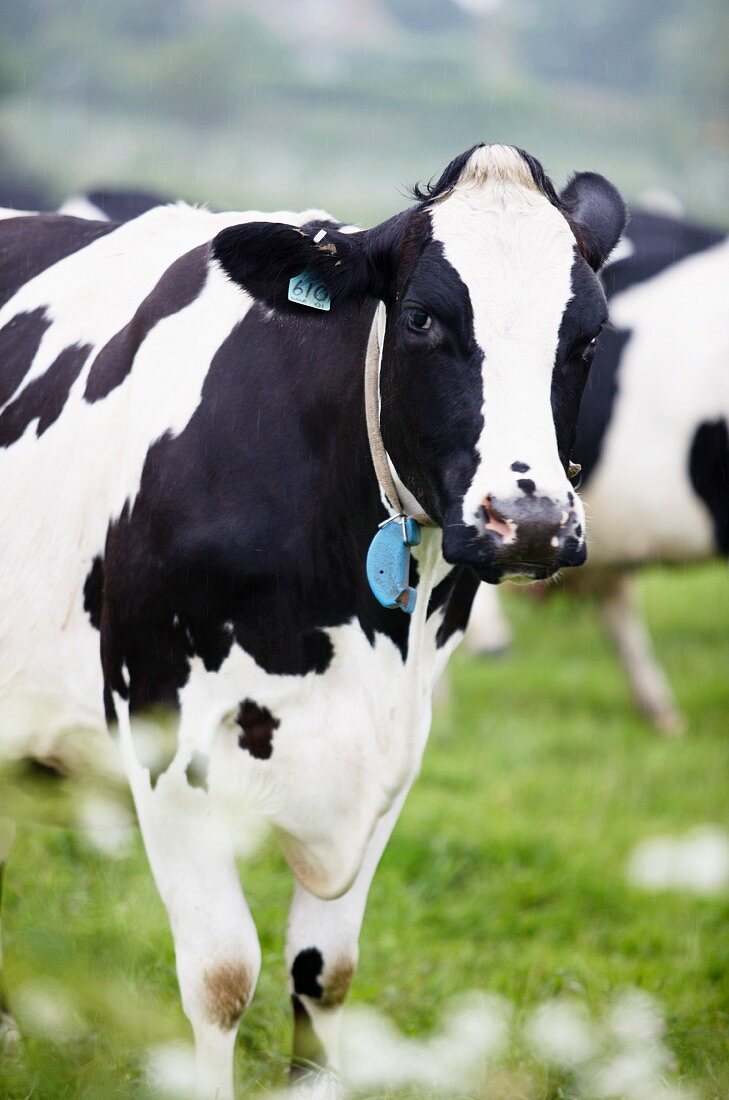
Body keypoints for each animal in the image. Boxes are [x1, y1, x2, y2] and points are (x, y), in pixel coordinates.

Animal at [0, 148, 628, 1100]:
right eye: (421, 319)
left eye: (585, 339)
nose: (530, 523)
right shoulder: (160, 729)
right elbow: (222, 977)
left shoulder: (395, 749)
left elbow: (324, 972)